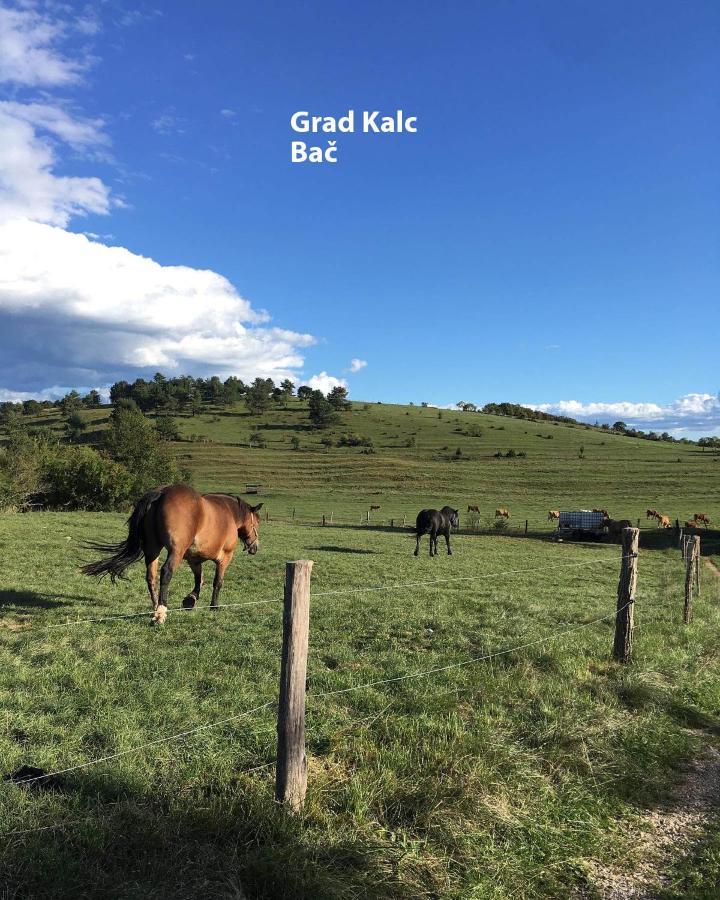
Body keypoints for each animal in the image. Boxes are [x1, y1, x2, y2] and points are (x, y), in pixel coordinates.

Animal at [82, 486, 262, 624]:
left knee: (151, 577)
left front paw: (191, 599)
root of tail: (161, 493)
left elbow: (199, 579)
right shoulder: (224, 558)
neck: (229, 512)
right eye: (257, 523)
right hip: (175, 552)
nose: (255, 547)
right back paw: (161, 612)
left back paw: (155, 608)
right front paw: (214, 606)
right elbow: (217, 582)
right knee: (166, 572)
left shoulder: (194, 560)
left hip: (153, 549)